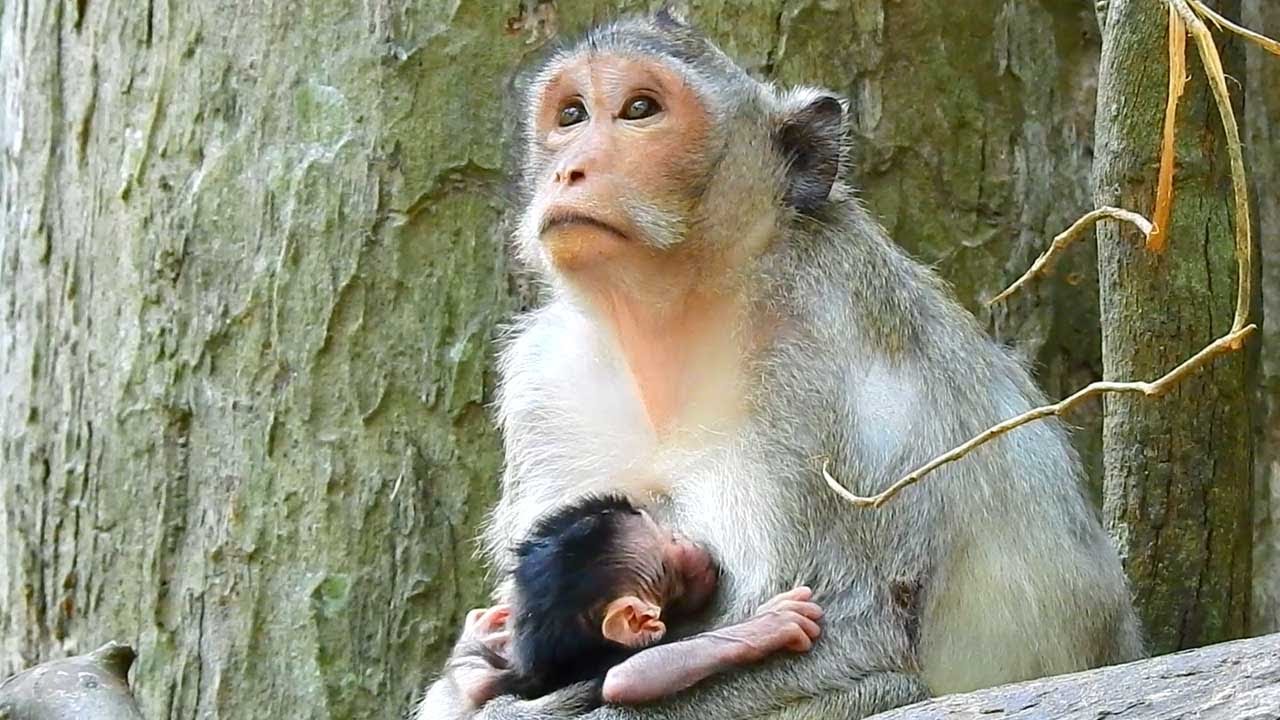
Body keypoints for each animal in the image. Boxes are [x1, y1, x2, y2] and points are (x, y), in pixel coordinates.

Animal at [450, 494, 823, 711]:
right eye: (672, 542)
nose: (689, 541)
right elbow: (626, 678)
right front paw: (767, 626)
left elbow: (480, 683)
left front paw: (481, 632)